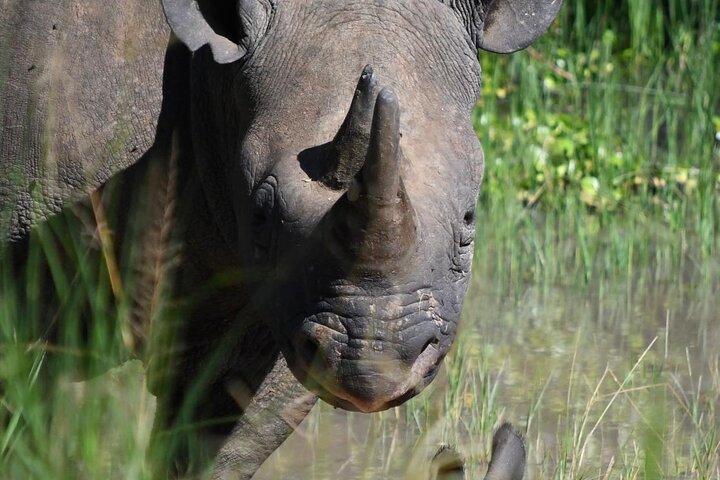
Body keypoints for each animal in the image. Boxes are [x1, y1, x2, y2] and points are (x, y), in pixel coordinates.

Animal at [0, 0, 561, 478]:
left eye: (468, 219)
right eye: (262, 214)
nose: (374, 367)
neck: (214, 84)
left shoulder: (287, 310)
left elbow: (221, 438)